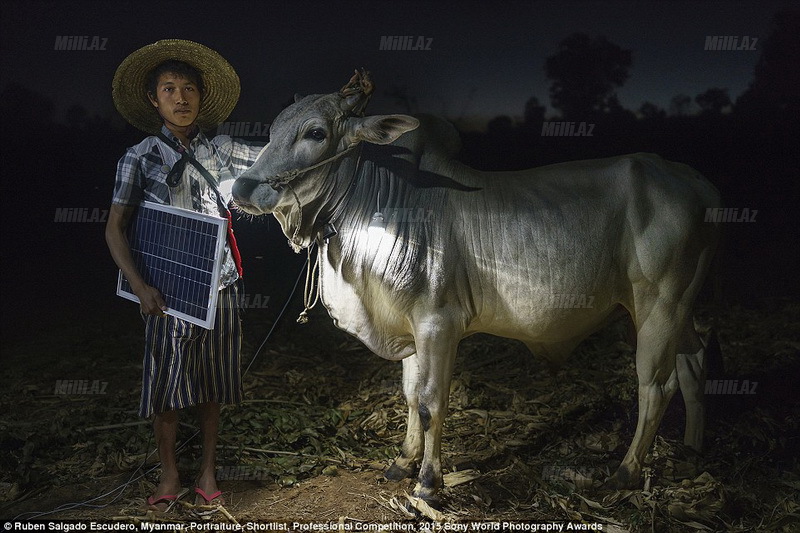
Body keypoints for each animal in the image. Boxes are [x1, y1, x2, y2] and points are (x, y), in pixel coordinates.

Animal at [230, 72, 720, 504]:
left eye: (315, 132)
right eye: (272, 130)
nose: (242, 188)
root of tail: (695, 182)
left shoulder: (438, 324)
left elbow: (430, 402)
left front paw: (429, 483)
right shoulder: (409, 327)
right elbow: (409, 395)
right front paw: (402, 462)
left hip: (660, 305)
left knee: (655, 386)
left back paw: (625, 471)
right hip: (673, 310)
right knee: (694, 362)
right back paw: (692, 450)